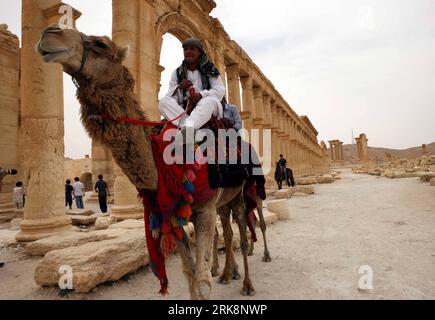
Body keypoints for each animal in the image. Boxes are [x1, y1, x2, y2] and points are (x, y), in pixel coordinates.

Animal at [37, 25, 250, 300]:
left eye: (101, 44)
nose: (50, 33)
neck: (167, 162)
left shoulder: (204, 208)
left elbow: (201, 279)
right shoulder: (174, 213)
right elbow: (189, 271)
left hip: (240, 193)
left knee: (243, 234)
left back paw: (247, 284)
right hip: (222, 202)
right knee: (227, 231)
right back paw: (227, 273)